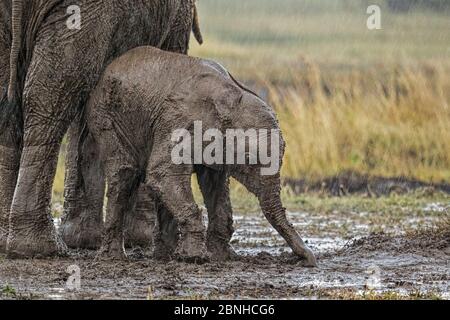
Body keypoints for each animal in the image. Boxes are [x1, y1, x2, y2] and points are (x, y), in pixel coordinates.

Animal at [87, 45, 316, 264]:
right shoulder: (178, 122)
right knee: (123, 174)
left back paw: (164, 256)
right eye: (250, 160)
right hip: (106, 118)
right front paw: (196, 258)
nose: (307, 260)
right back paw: (115, 257)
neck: (233, 98)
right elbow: (163, 173)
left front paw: (221, 257)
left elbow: (214, 184)